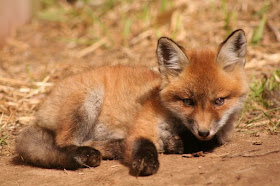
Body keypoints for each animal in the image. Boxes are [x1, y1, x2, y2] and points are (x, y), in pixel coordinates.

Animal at [15, 29, 247, 176]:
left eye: (219, 101)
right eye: (187, 101)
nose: (203, 131)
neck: (176, 124)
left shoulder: (220, 135)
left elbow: (210, 142)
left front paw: (180, 143)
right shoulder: (142, 127)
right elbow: (144, 145)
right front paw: (146, 162)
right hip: (88, 101)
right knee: (66, 144)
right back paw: (98, 152)